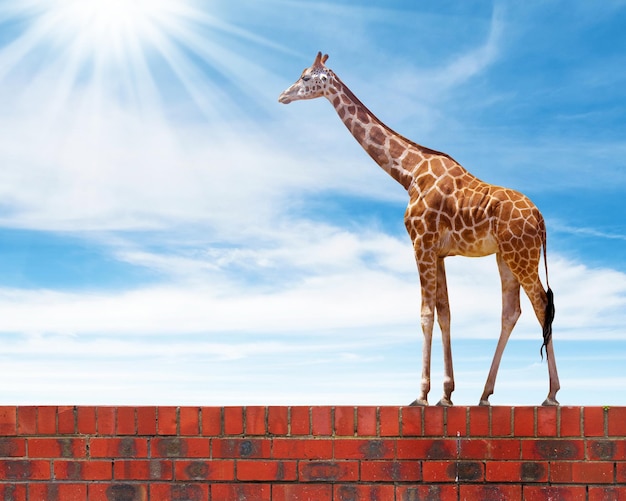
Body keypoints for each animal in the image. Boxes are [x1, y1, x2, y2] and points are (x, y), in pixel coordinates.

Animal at [276, 52, 560, 404]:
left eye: (304, 77)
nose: (282, 95)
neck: (408, 173)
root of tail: (541, 219)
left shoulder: (420, 243)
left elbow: (426, 313)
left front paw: (421, 394)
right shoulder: (438, 251)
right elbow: (445, 313)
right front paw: (447, 394)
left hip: (522, 254)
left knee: (542, 304)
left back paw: (551, 394)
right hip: (505, 256)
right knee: (512, 311)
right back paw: (484, 394)